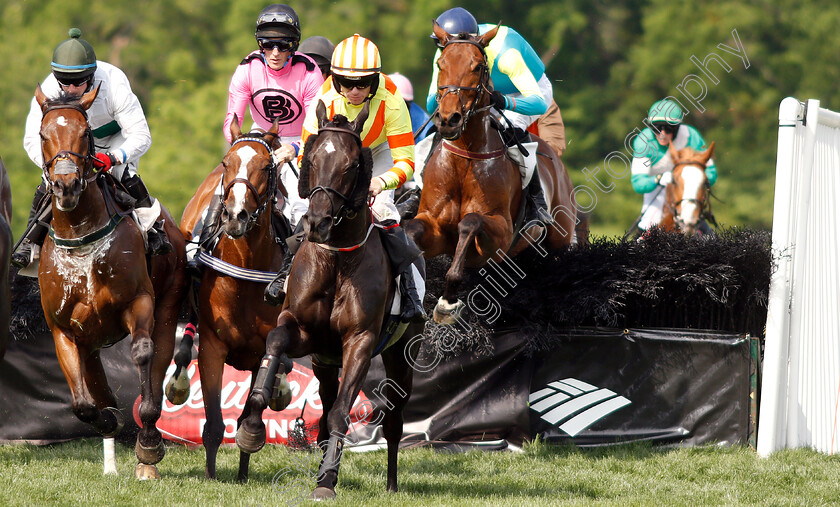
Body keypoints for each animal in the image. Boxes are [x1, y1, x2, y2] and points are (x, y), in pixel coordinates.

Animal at [34, 84, 187, 480]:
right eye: (43, 134)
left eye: (86, 133)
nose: (66, 185)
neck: (81, 233)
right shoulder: (64, 329)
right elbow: (83, 405)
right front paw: (109, 421)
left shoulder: (139, 303)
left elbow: (144, 357)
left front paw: (148, 445)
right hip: (90, 340)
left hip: (168, 306)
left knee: (159, 362)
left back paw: (146, 456)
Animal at [176, 119, 286, 484]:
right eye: (227, 163)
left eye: (266, 166)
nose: (236, 215)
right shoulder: (213, 347)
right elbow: (213, 423)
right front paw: (211, 476)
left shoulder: (261, 350)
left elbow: (249, 412)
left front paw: (242, 470)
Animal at [236, 101, 424, 502]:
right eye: (312, 158)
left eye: (352, 165)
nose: (317, 223)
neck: (337, 259)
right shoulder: (304, 331)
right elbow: (275, 342)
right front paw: (252, 425)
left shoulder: (361, 342)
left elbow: (341, 412)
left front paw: (326, 481)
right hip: (324, 361)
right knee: (323, 408)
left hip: (401, 356)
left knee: (395, 420)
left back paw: (391, 483)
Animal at [408, 21, 580, 324]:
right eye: (440, 64)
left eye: (477, 66)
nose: (449, 119)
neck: (465, 158)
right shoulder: (434, 226)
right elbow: (413, 228)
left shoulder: (499, 238)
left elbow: (470, 222)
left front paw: (447, 303)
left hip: (559, 242)